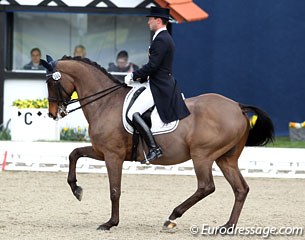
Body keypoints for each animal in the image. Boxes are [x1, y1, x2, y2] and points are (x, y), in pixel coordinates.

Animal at [41, 55, 274, 231]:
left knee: (206, 186)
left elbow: (114, 190)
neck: (105, 103)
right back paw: (227, 227)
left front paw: (110, 223)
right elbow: (74, 153)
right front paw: (76, 189)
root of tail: (238, 106)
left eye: (51, 83)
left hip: (202, 155)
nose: (52, 114)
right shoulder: (101, 151)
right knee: (240, 189)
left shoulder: (113, 155)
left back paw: (172, 216)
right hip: (226, 159)